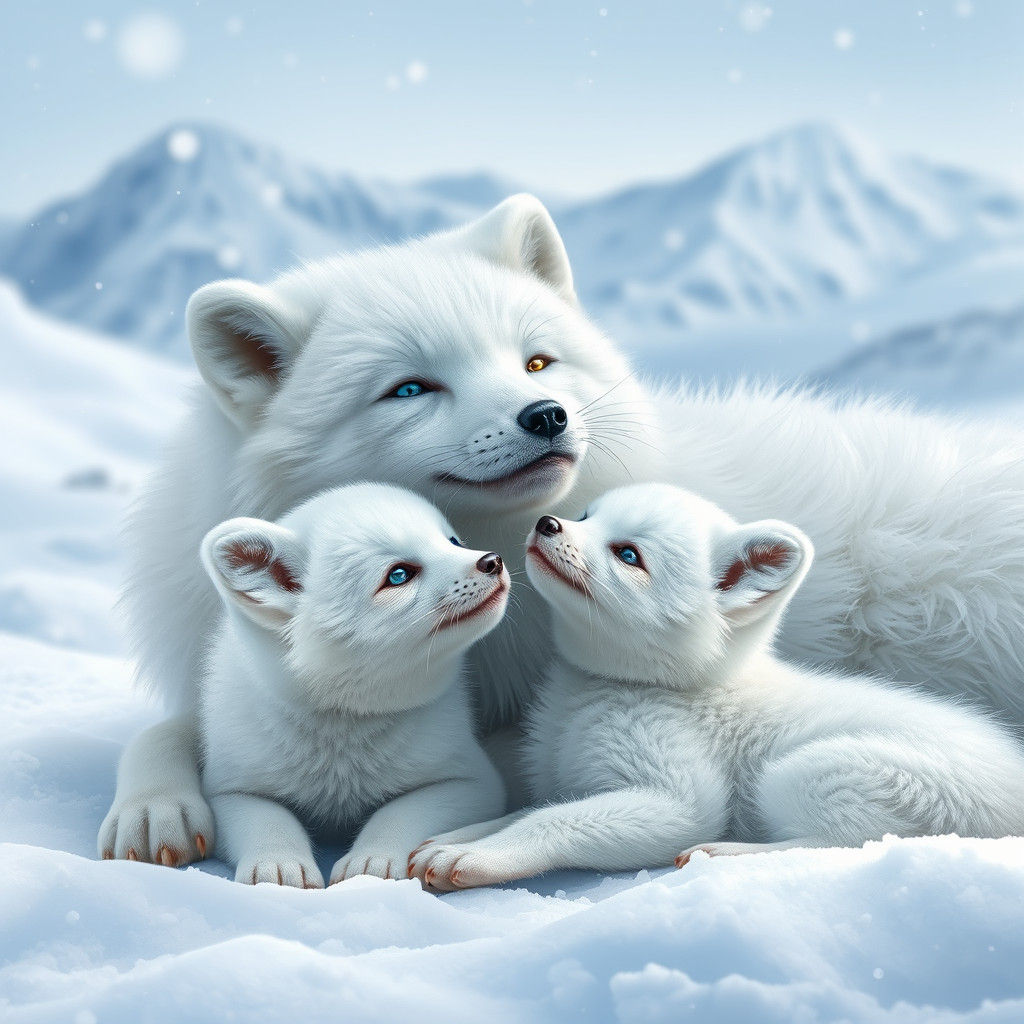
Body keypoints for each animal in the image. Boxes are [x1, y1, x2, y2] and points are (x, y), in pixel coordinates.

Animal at [411, 484, 1024, 890]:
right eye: (587, 514)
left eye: (628, 554)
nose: (548, 523)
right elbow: (534, 806)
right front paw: (460, 836)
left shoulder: (677, 786)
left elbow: (561, 816)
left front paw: (478, 858)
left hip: (825, 769)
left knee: (852, 843)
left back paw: (727, 851)